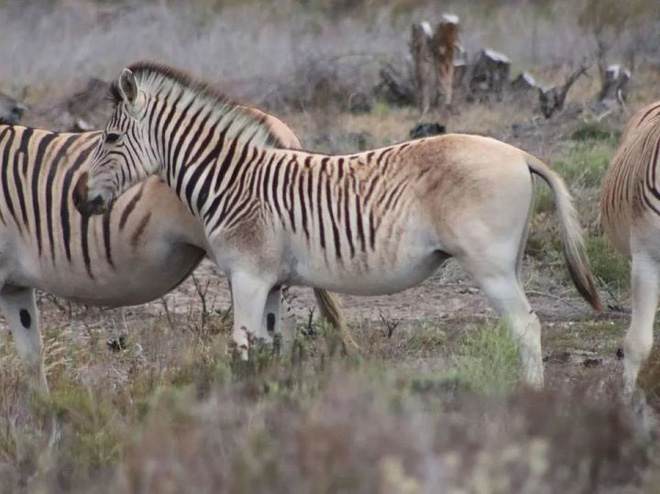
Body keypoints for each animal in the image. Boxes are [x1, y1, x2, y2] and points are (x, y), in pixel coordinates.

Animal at [78, 60, 604, 386]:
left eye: (110, 138)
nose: (82, 201)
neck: (233, 181)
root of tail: (519, 153)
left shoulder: (247, 276)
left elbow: (241, 348)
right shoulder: (271, 282)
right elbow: (269, 348)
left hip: (488, 265)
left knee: (525, 326)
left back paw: (528, 400)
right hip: (507, 262)